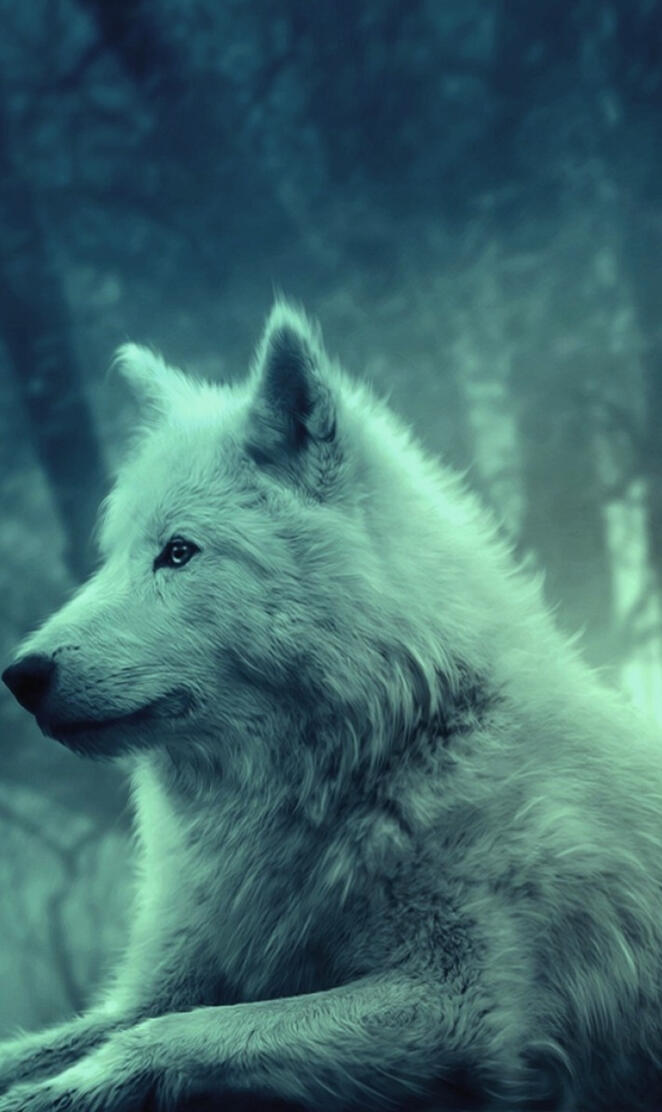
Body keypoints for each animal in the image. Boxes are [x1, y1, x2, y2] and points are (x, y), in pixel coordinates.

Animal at [1, 301, 662, 1111]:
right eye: (112, 557)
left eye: (178, 552)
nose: (20, 675)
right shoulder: (163, 984)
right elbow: (74, 1037)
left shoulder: (463, 1008)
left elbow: (179, 1035)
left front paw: (57, 1091)